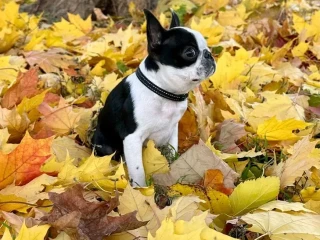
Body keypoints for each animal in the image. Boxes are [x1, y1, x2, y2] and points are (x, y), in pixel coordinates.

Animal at [91, 8, 216, 188]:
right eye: (190, 53)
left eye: (207, 48)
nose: (209, 54)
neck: (162, 92)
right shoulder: (132, 138)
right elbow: (138, 170)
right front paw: (141, 190)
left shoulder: (173, 129)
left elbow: (172, 150)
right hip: (104, 145)